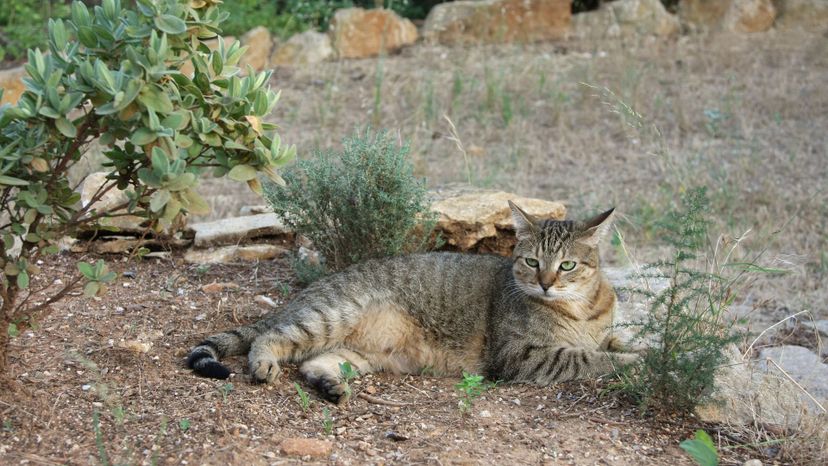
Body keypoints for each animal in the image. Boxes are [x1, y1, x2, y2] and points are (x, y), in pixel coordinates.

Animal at [189, 202, 640, 402]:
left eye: (567, 265)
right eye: (532, 262)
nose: (546, 284)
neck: (581, 309)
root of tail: (313, 288)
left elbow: (611, 343)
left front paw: (638, 349)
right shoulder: (521, 355)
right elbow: (587, 358)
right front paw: (636, 363)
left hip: (355, 353)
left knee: (313, 363)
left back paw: (331, 386)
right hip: (328, 317)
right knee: (269, 339)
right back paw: (264, 364)